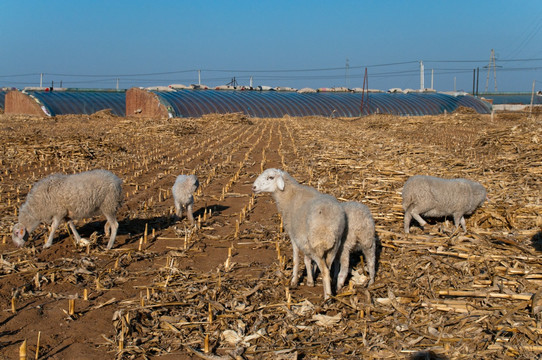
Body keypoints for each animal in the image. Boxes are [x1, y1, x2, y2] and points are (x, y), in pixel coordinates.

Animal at [253, 169, 346, 300]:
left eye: (270, 177)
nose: (253, 187)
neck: (289, 195)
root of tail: (330, 223)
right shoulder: (303, 238)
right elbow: (307, 259)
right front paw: (310, 280)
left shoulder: (294, 236)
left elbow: (296, 259)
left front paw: (294, 281)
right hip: (334, 245)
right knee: (327, 266)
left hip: (317, 244)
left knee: (325, 271)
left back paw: (327, 298)